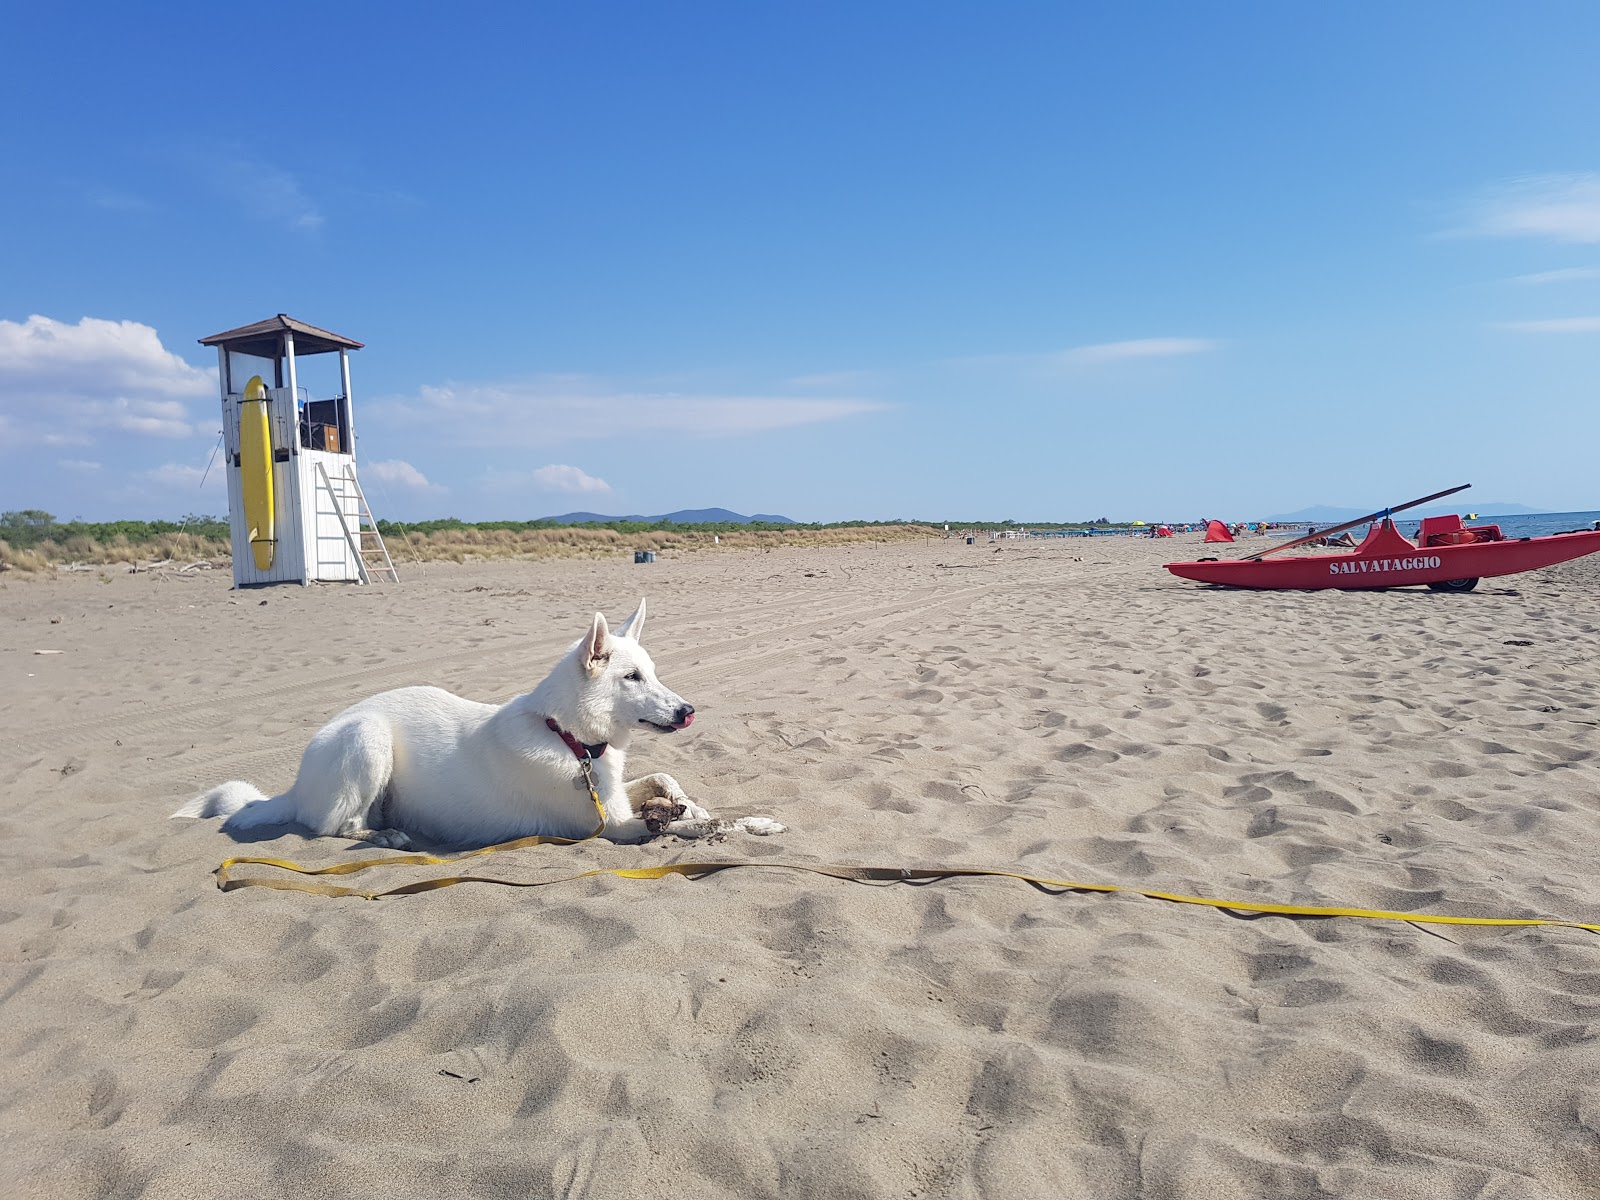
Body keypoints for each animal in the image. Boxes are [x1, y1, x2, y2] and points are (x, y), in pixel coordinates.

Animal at [172, 598, 784, 844]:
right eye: (632, 678)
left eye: (653, 673)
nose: (687, 711)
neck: (568, 739)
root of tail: (295, 786)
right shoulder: (612, 826)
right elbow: (706, 825)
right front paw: (753, 824)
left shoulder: (615, 794)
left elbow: (668, 784)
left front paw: (692, 803)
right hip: (366, 740)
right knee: (328, 826)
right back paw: (387, 835)